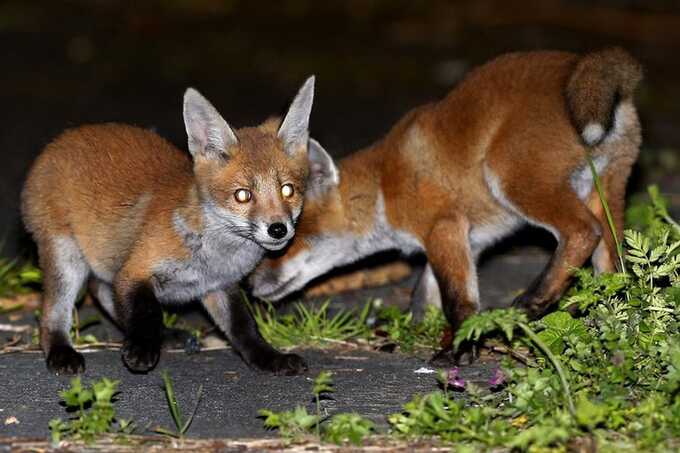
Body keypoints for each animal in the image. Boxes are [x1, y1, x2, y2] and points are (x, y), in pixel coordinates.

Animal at [22, 77, 320, 375]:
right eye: (243, 195)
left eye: (287, 190)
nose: (278, 229)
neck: (213, 256)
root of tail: (63, 138)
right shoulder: (134, 271)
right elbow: (149, 312)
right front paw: (142, 348)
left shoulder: (220, 287)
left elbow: (243, 327)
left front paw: (268, 358)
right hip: (65, 258)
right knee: (51, 315)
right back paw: (62, 351)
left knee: (101, 290)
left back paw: (166, 335)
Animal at [250, 49, 642, 357]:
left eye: (286, 238)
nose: (251, 287)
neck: (384, 188)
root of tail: (579, 63)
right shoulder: (468, 241)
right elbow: (425, 295)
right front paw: (411, 334)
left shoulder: (443, 226)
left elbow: (458, 301)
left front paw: (460, 346)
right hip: (605, 190)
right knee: (613, 264)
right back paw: (609, 318)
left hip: (514, 181)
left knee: (582, 231)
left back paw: (534, 301)